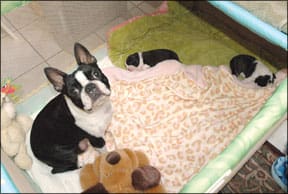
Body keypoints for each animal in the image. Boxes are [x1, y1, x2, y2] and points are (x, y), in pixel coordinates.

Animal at [29, 43, 112, 174]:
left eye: (96, 74)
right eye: (73, 91)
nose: (90, 87)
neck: (97, 111)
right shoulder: (96, 140)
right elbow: (104, 149)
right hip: (65, 153)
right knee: (64, 167)